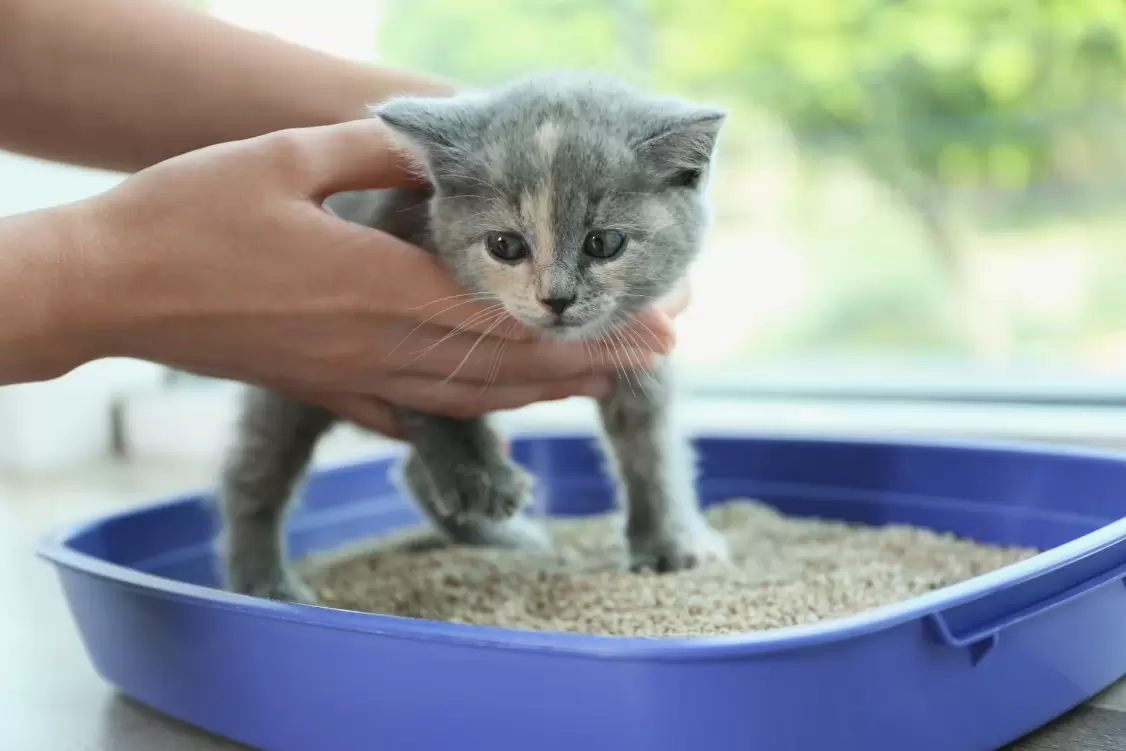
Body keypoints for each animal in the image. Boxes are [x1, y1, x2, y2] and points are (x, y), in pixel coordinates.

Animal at [217, 72, 729, 603]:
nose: (556, 298)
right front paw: (478, 472)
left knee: (409, 472)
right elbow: (430, 396)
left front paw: (671, 543)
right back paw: (263, 580)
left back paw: (508, 540)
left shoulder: (639, 345)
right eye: (505, 246)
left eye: (604, 243)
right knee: (252, 474)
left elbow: (652, 446)